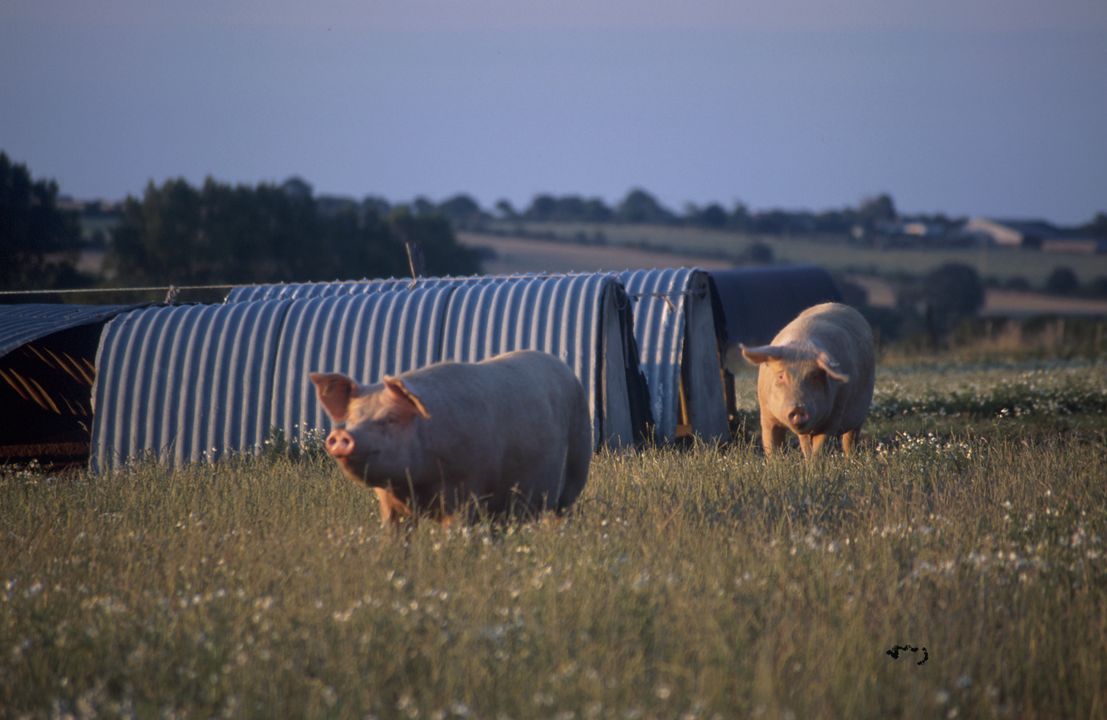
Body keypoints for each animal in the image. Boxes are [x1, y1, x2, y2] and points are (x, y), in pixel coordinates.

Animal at [307, 350, 593, 525]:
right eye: (352, 419)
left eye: (390, 419)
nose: (342, 435)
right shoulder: (388, 501)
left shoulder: (466, 491)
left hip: (576, 468)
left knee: (562, 511)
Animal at [735, 299, 872, 456]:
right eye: (781, 376)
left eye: (814, 377)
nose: (799, 409)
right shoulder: (766, 412)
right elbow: (771, 442)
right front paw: (774, 461)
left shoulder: (834, 414)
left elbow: (820, 446)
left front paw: (815, 463)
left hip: (859, 415)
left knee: (850, 438)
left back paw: (850, 458)